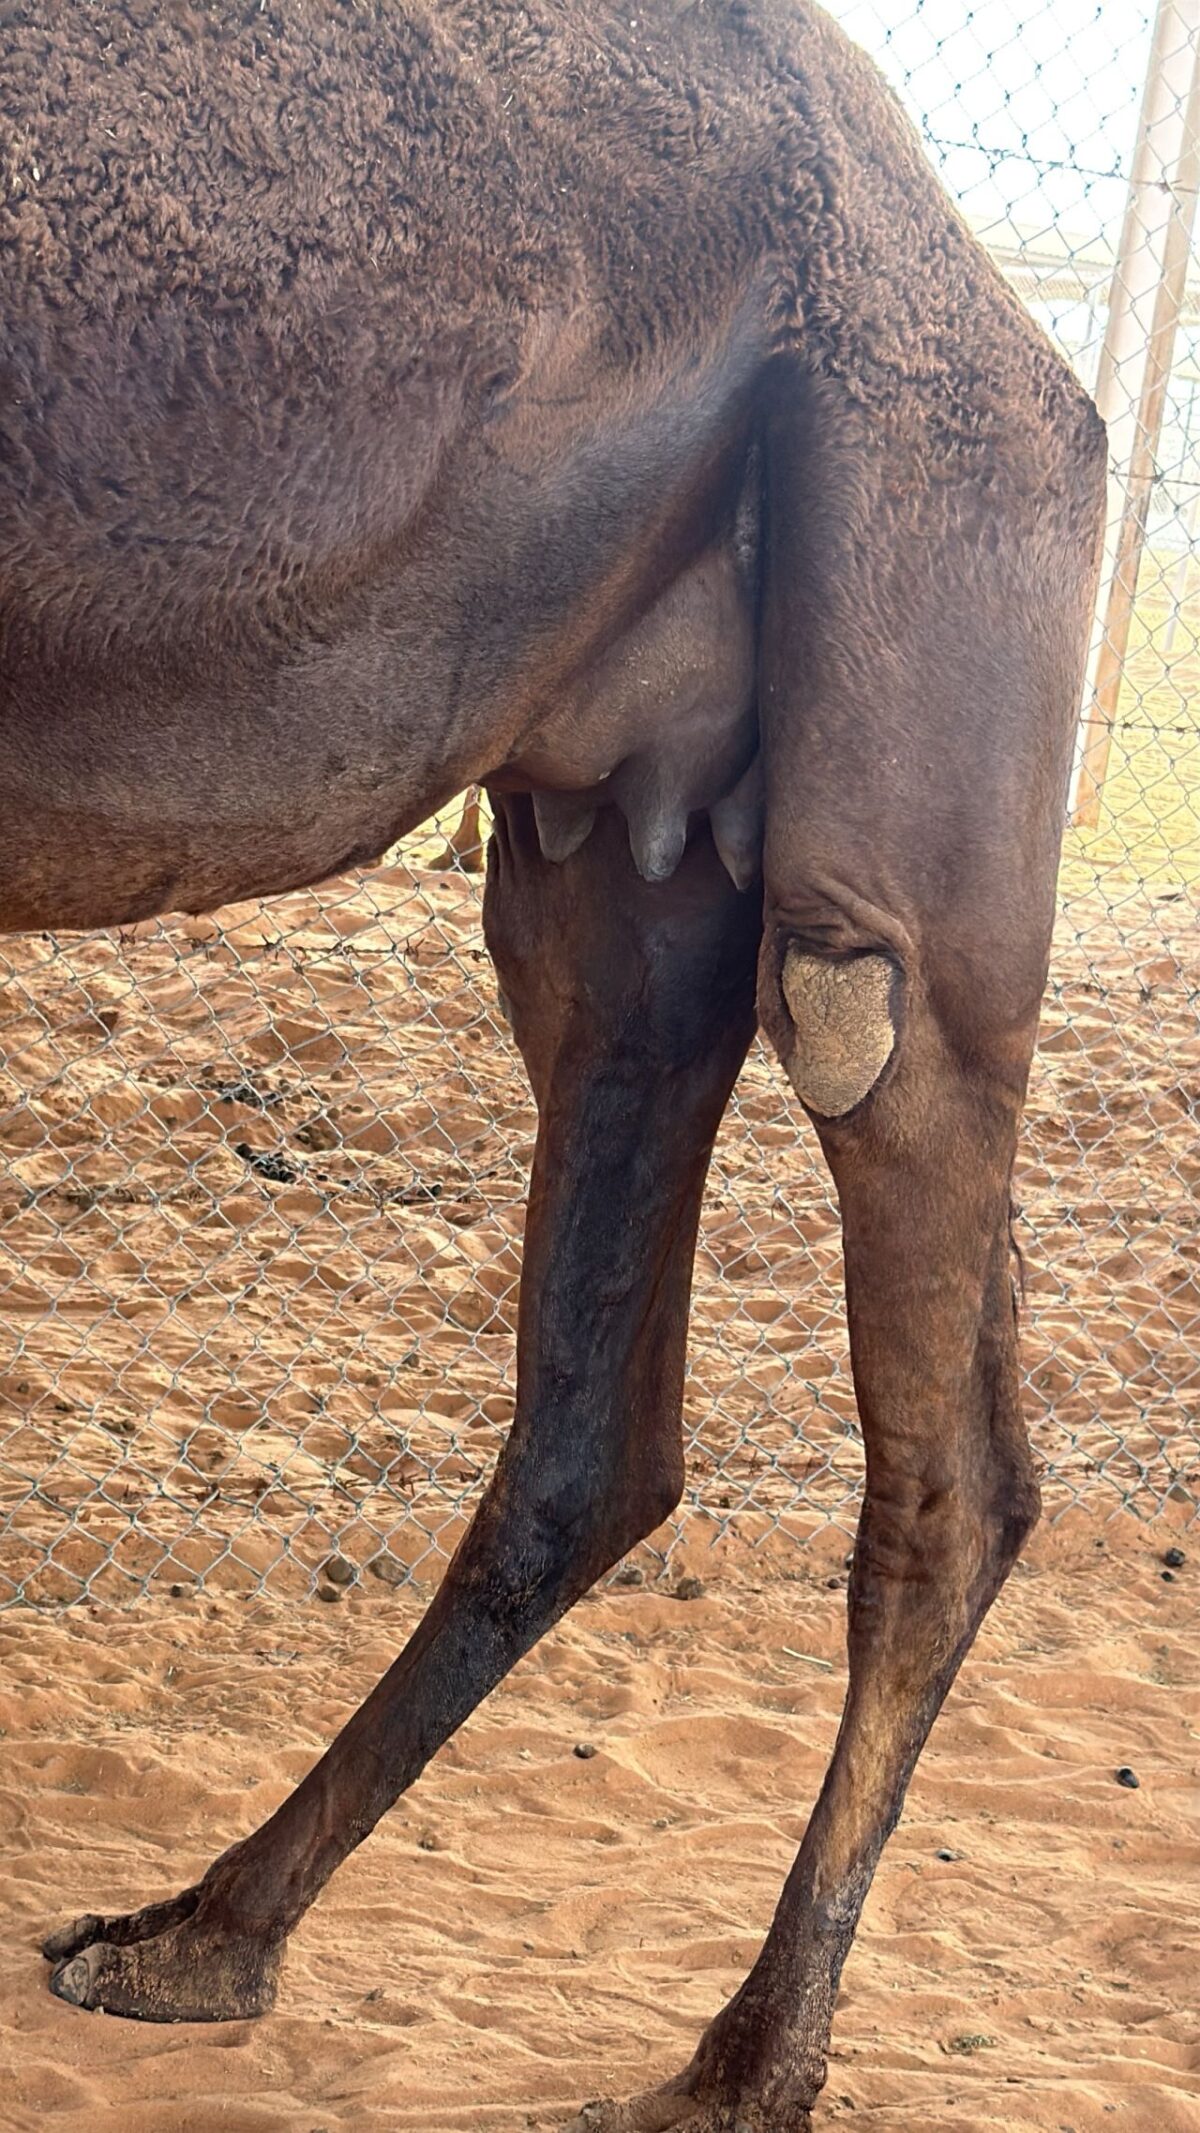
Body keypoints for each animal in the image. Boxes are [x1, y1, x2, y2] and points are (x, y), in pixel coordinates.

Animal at [2, 2, 1107, 2124]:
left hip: (926, 557)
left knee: (930, 1348)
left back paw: (740, 2060)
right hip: (617, 845)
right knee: (617, 1414)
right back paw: (198, 1931)